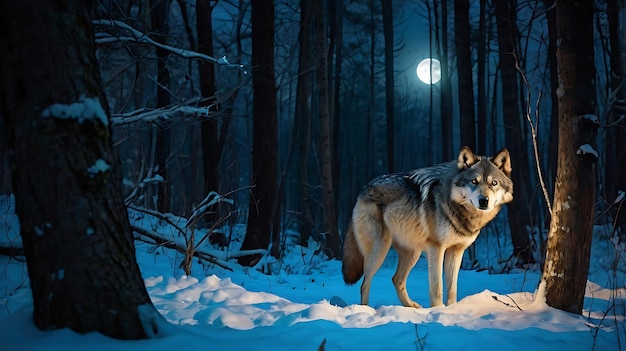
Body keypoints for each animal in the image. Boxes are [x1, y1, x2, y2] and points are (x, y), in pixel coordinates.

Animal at [342, 146, 512, 308]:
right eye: (474, 182)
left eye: (494, 183)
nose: (484, 201)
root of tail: (364, 188)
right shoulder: (436, 248)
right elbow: (437, 287)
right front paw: (438, 309)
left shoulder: (457, 251)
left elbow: (452, 289)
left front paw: (452, 309)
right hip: (379, 250)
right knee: (365, 284)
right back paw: (366, 310)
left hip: (413, 253)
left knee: (396, 279)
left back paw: (410, 305)